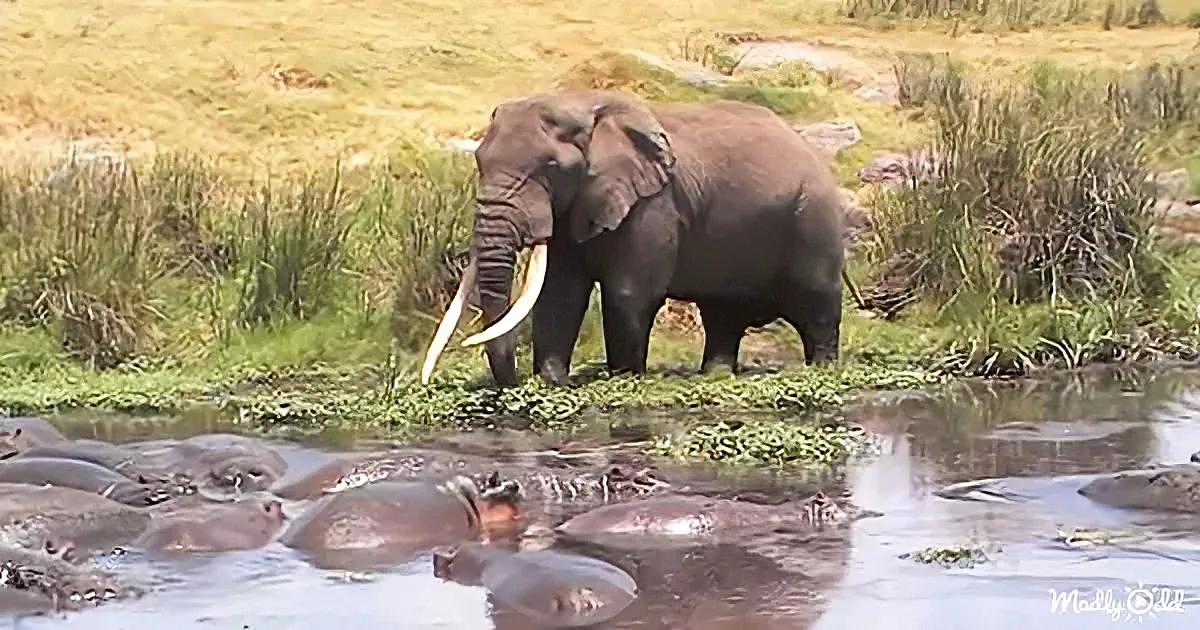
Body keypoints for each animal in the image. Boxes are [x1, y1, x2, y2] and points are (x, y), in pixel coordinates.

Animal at [419, 91, 845, 387]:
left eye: (550, 168)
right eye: (479, 160)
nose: (511, 383)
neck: (581, 105)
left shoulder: (653, 205)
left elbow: (628, 294)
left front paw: (623, 379)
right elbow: (559, 296)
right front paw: (552, 383)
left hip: (813, 220)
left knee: (817, 308)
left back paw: (823, 369)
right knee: (722, 316)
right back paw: (716, 374)